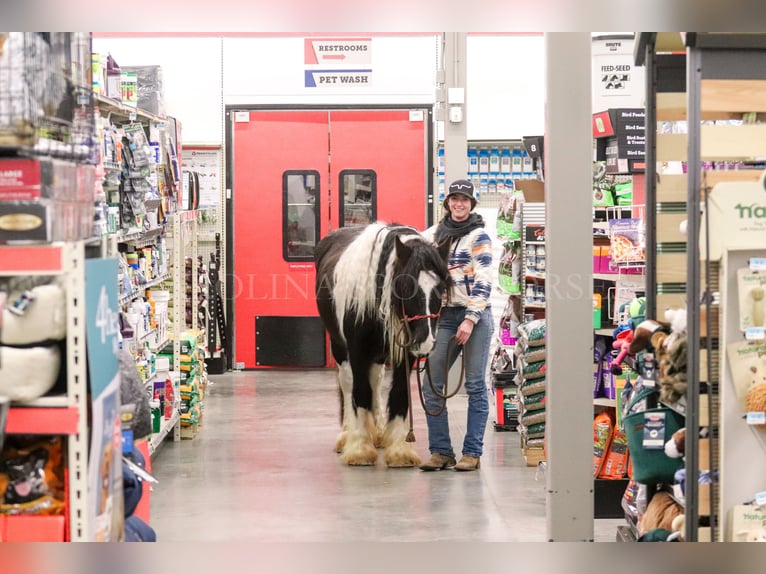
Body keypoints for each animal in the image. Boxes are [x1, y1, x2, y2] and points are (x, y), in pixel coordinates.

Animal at [316, 223, 452, 470]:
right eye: (405, 286)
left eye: (442, 288)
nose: (426, 340)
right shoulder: (357, 351)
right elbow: (360, 393)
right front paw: (360, 449)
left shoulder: (406, 353)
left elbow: (399, 394)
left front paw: (399, 450)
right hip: (340, 348)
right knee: (348, 384)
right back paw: (348, 435)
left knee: (375, 381)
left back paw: (377, 433)